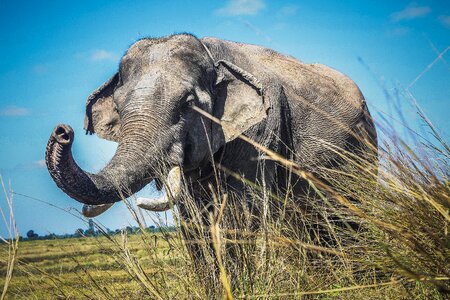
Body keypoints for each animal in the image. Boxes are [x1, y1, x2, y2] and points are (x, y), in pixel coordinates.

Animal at [45, 32, 376, 245]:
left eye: (187, 105)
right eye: (119, 106)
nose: (63, 131)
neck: (211, 55)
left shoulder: (261, 133)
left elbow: (243, 212)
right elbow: (193, 218)